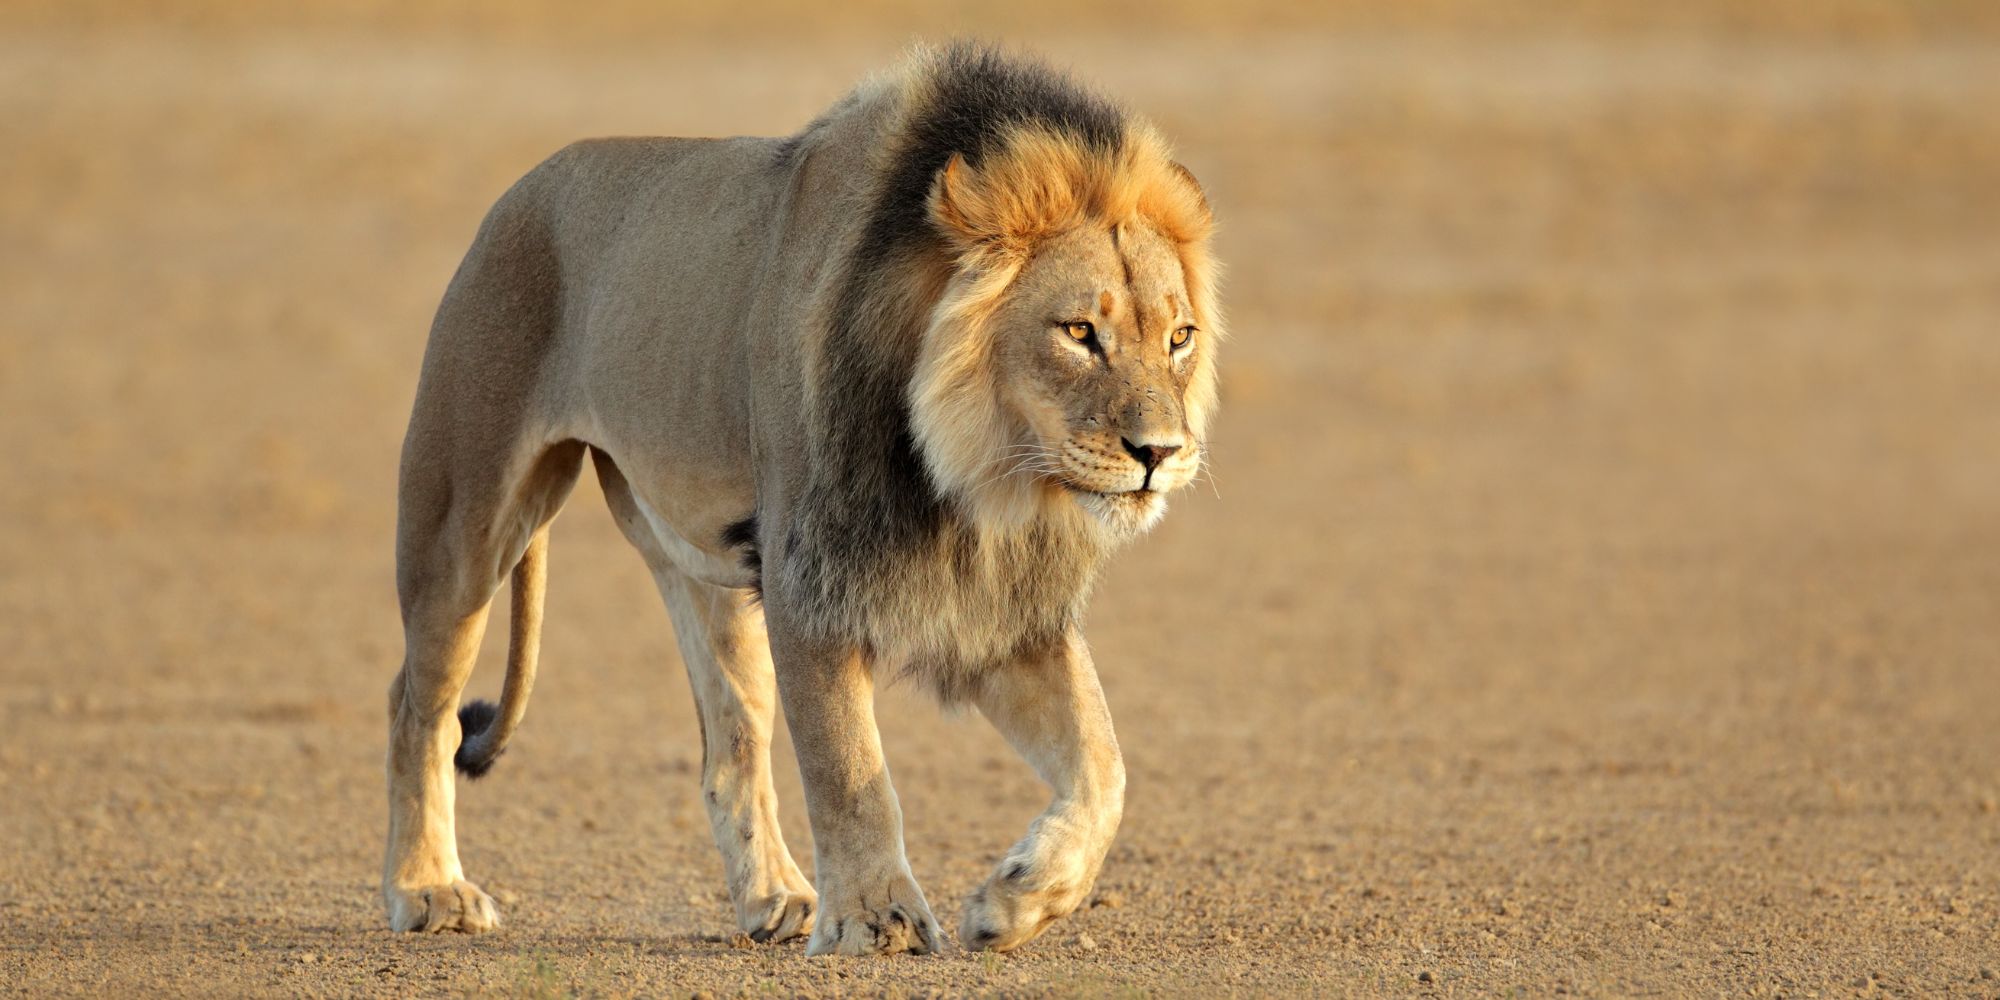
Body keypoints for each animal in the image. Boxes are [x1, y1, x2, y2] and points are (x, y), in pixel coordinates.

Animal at [383, 42, 1221, 955]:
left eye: (1179, 337)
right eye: (1078, 333)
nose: (1161, 453)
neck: (977, 476)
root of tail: (525, 186)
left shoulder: (1001, 609)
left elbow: (1105, 766)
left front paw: (1015, 898)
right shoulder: (808, 576)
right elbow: (850, 765)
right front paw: (877, 920)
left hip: (702, 570)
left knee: (730, 747)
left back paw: (773, 899)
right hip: (464, 518)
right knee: (418, 705)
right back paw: (428, 890)